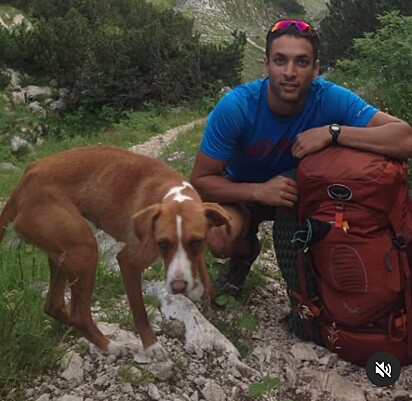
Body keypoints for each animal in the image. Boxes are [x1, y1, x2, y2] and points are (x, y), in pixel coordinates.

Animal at [0, 146, 232, 360]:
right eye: (162, 244)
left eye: (197, 242)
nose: (178, 287)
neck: (173, 193)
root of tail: (24, 180)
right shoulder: (128, 262)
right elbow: (139, 311)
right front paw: (151, 346)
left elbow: (203, 277)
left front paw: (199, 287)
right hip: (85, 249)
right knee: (79, 315)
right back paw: (110, 346)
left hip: (63, 252)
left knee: (54, 305)